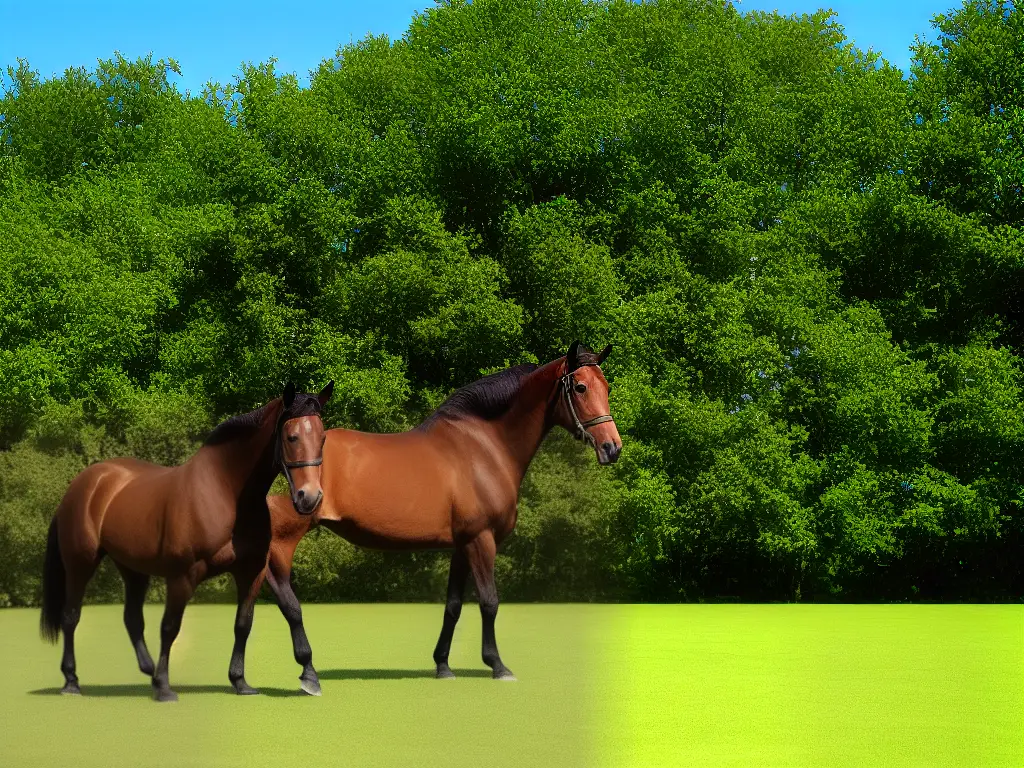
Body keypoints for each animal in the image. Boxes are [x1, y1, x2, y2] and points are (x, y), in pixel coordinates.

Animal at [37, 382, 333, 700]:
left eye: (322, 438)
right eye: (291, 437)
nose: (309, 497)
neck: (225, 493)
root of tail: (82, 484)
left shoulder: (251, 572)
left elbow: (243, 624)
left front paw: (240, 682)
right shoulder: (183, 575)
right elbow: (170, 627)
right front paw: (166, 688)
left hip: (133, 568)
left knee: (132, 618)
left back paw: (148, 672)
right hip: (80, 564)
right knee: (71, 616)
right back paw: (71, 681)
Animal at [260, 339, 618, 696]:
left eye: (607, 387)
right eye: (581, 387)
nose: (612, 447)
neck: (483, 447)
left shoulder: (463, 544)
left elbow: (454, 605)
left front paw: (443, 665)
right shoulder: (482, 540)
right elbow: (489, 601)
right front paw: (497, 665)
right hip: (285, 534)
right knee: (282, 592)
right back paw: (307, 672)